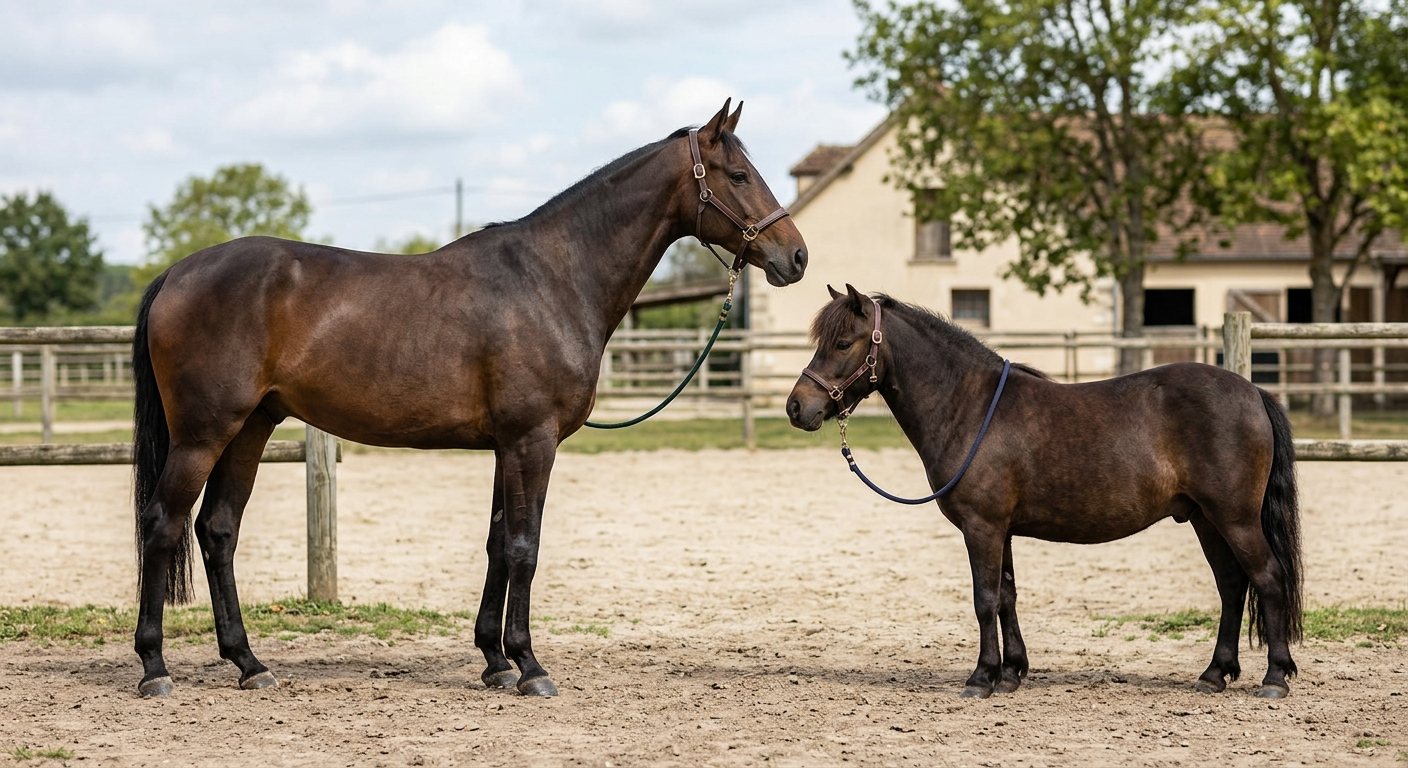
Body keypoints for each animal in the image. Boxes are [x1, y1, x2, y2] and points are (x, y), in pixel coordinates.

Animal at [129, 100, 808, 698]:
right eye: (739, 175)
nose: (796, 257)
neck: (552, 279)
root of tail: (176, 273)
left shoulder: (507, 446)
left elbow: (498, 545)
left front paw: (495, 661)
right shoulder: (533, 442)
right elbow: (525, 548)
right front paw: (530, 667)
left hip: (250, 429)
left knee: (218, 530)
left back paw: (250, 663)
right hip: (203, 434)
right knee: (163, 524)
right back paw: (155, 667)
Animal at [786, 285, 1301, 699]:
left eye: (843, 342)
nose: (796, 407)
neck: (970, 407)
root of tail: (1253, 392)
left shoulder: (982, 528)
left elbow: (985, 600)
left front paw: (981, 678)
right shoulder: (1002, 530)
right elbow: (1007, 596)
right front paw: (1012, 673)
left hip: (1234, 518)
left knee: (1268, 579)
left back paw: (1274, 678)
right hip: (1204, 518)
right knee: (1232, 585)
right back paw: (1215, 674)